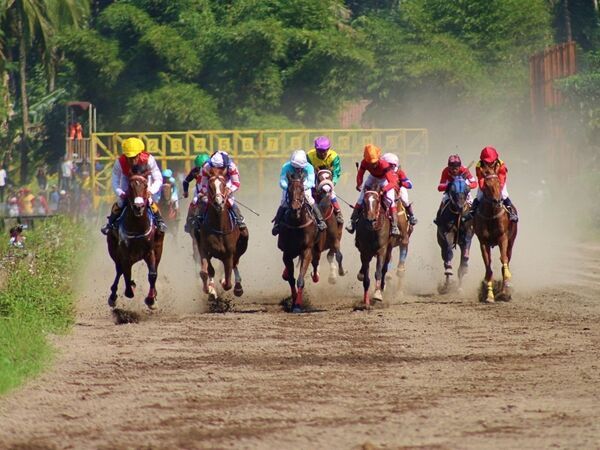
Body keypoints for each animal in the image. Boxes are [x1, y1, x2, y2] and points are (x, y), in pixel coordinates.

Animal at [106, 174, 164, 312]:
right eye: (130, 186)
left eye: (146, 185)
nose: (138, 206)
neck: (137, 227)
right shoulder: (125, 254)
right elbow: (126, 273)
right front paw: (129, 289)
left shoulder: (150, 251)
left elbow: (152, 274)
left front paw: (151, 300)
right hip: (113, 249)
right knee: (120, 270)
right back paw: (113, 296)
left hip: (158, 250)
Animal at [193, 168, 247, 302]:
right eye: (210, 186)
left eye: (224, 185)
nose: (219, 202)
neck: (219, 226)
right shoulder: (203, 249)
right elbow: (206, 272)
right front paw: (210, 290)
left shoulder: (229, 254)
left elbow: (228, 283)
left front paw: (223, 282)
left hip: (241, 245)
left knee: (235, 264)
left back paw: (238, 287)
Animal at [278, 172, 322, 312]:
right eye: (289, 190)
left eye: (302, 190)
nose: (295, 209)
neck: (297, 223)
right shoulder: (286, 252)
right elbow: (291, 279)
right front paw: (293, 302)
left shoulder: (306, 251)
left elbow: (300, 280)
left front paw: (297, 305)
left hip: (316, 248)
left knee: (315, 261)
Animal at [476, 164, 516, 302]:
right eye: (486, 185)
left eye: (498, 182)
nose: (497, 201)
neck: (491, 215)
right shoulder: (483, 242)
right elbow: (488, 268)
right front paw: (489, 295)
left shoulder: (503, 238)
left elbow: (504, 260)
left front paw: (505, 288)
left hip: (511, 242)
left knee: (507, 258)